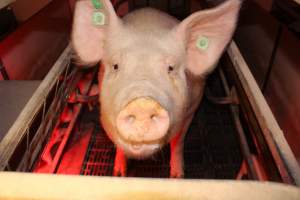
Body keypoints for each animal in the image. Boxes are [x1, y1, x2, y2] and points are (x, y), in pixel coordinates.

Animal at [72, 0, 241, 177]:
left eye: (171, 68)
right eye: (115, 66)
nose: (142, 104)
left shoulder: (192, 108)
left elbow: (178, 141)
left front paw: (177, 176)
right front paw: (118, 174)